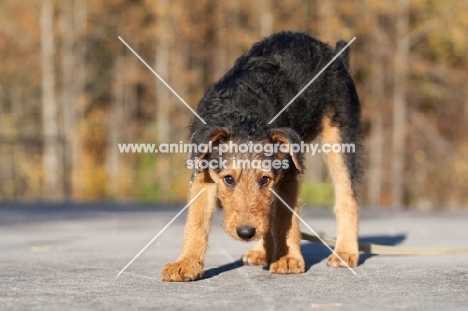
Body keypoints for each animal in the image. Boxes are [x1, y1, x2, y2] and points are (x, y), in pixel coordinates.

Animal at [161, 31, 362, 282]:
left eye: (264, 179)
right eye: (228, 179)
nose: (246, 232)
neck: (245, 113)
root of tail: (336, 54)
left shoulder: (287, 174)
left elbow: (285, 219)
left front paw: (287, 259)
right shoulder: (203, 172)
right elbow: (196, 220)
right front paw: (186, 263)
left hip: (340, 138)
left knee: (347, 197)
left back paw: (345, 251)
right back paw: (260, 251)